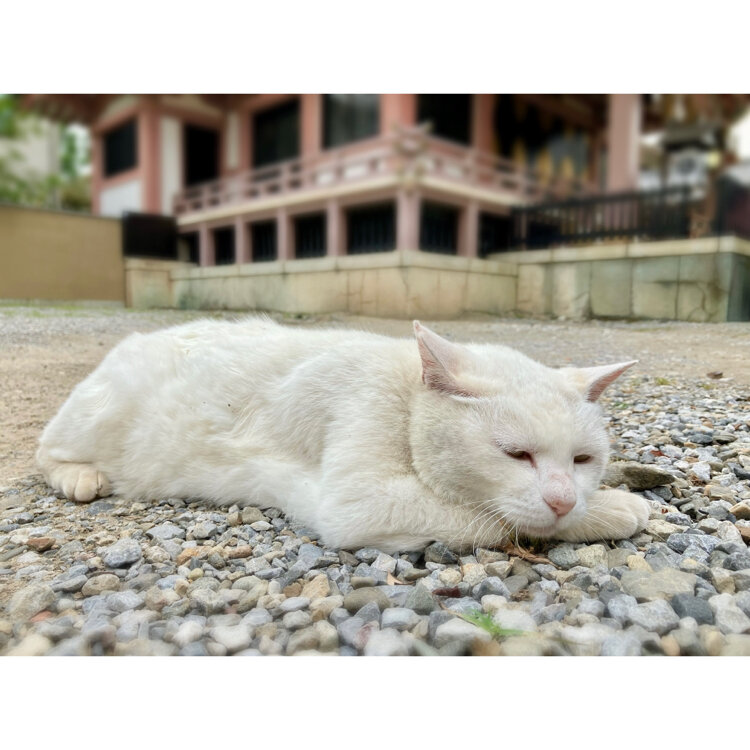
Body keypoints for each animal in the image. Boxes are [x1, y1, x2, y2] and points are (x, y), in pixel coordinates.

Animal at [35, 318, 648, 552]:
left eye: (583, 460)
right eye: (516, 454)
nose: (563, 498)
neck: (403, 389)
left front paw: (599, 502)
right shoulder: (358, 498)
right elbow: (488, 520)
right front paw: (614, 509)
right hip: (98, 413)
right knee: (46, 451)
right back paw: (81, 477)